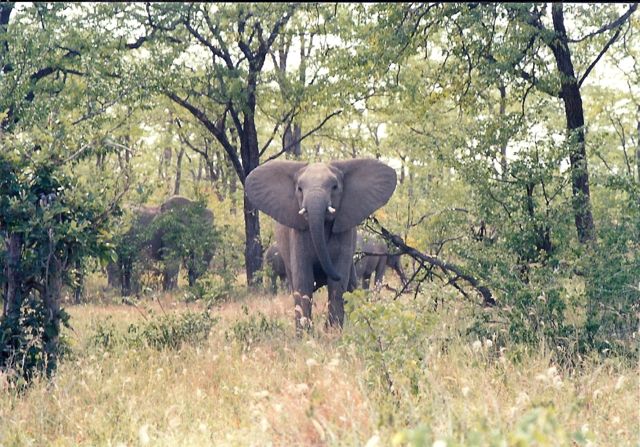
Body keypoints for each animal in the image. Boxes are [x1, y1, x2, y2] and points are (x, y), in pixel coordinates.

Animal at [246, 158, 397, 333]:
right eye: (299, 189)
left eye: (335, 187)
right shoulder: (297, 233)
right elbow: (303, 281)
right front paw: (305, 335)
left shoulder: (345, 232)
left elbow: (338, 284)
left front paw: (333, 332)